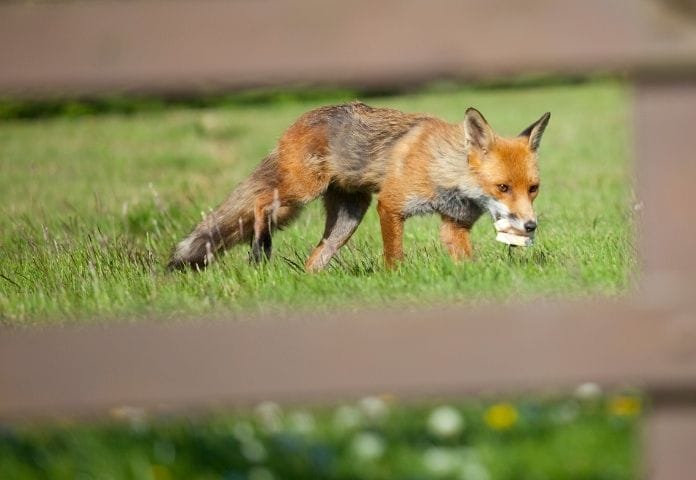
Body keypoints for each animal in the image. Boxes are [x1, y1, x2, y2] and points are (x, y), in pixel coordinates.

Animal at [169, 103, 548, 272]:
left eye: (533, 188)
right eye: (502, 187)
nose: (531, 225)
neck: (448, 174)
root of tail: (298, 120)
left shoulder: (454, 225)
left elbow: (466, 260)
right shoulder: (390, 204)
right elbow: (394, 255)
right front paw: (396, 280)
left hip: (348, 219)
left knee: (314, 258)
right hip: (301, 193)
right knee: (262, 201)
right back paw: (260, 250)